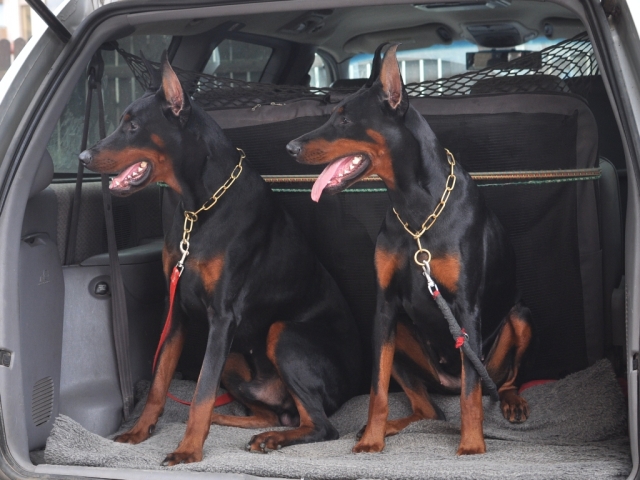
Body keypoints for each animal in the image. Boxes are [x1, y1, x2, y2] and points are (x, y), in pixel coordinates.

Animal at [79, 52, 362, 465]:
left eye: (132, 126)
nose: (83, 156)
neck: (198, 207)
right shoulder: (176, 309)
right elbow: (160, 382)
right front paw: (139, 431)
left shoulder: (223, 316)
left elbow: (200, 392)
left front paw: (188, 451)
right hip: (234, 360)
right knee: (273, 413)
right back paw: (240, 424)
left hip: (282, 334)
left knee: (322, 425)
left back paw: (270, 438)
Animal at [286, 44, 533, 455]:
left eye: (345, 119)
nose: (290, 147)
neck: (416, 210)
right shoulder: (385, 306)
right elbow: (377, 390)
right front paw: (370, 439)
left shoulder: (466, 306)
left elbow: (471, 392)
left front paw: (471, 445)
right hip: (400, 338)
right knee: (427, 408)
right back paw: (385, 428)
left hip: (519, 318)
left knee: (498, 381)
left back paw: (512, 401)